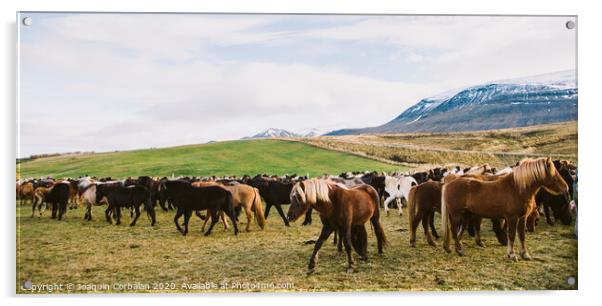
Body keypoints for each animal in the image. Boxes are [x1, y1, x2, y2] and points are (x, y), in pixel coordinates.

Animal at [440, 158, 568, 260]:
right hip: (456, 214)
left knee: (459, 231)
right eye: (553, 174)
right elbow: (511, 235)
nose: (565, 188)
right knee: (454, 230)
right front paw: (512, 255)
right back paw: (459, 250)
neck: (516, 188)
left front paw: (525, 254)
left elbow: (522, 235)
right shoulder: (512, 218)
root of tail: (448, 184)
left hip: (466, 214)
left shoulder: (522, 218)